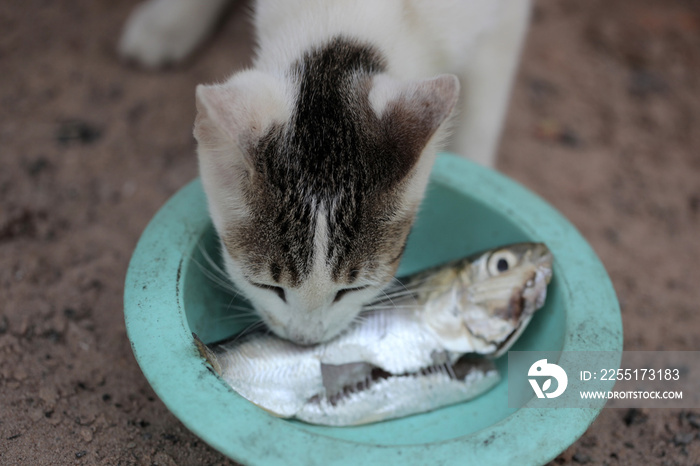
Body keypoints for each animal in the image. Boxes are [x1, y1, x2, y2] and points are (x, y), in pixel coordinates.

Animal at [120, 0, 528, 346]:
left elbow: (482, 118)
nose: (306, 339)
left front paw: (479, 168)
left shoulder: (503, 20)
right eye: (267, 287)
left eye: (353, 289)